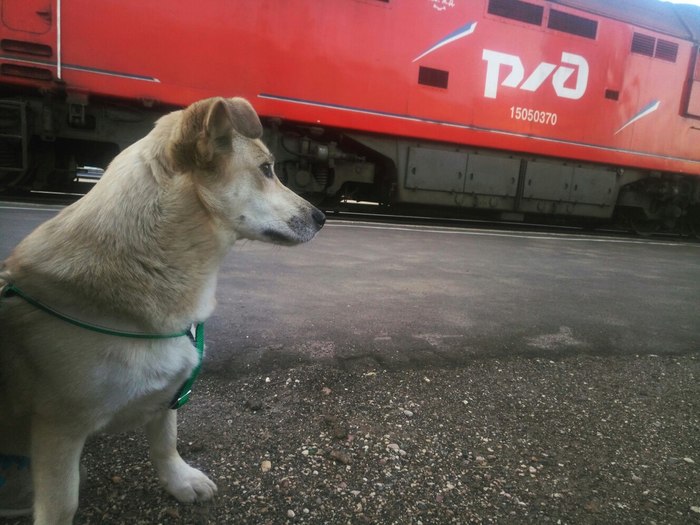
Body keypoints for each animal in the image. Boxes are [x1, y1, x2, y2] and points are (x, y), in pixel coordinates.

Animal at [0, 96, 324, 520]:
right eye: (267, 169)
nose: (322, 217)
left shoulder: (171, 391)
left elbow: (166, 441)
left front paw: (179, 482)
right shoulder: (58, 427)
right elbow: (62, 504)